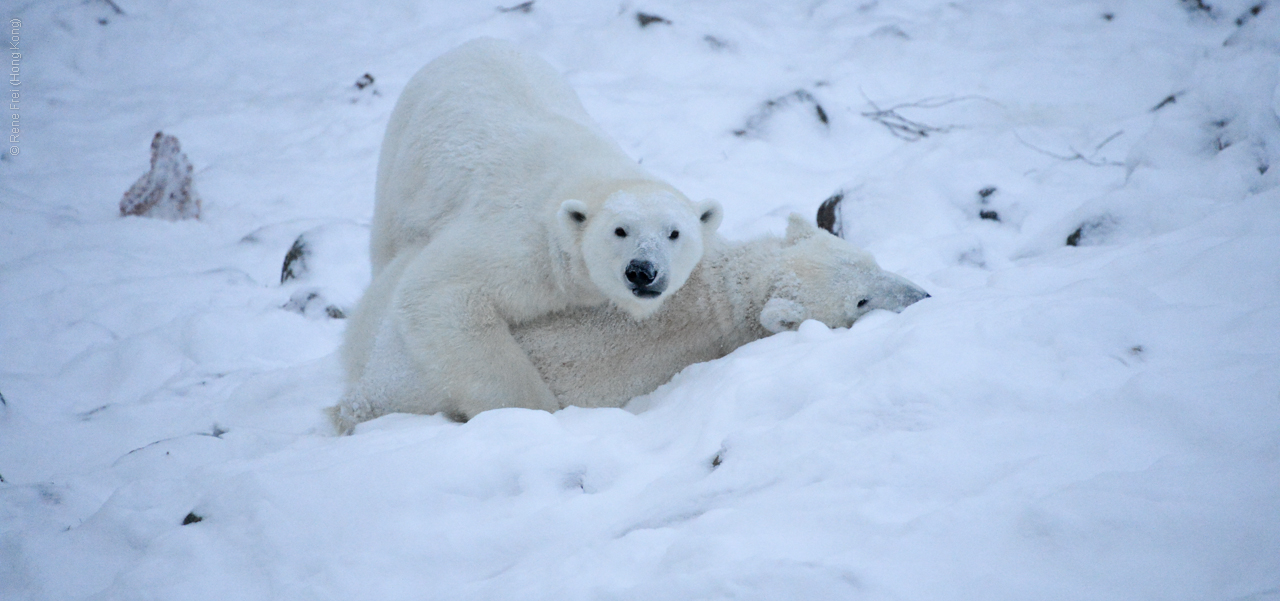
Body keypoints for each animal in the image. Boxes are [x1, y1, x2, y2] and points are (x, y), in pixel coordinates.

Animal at [335, 37, 721, 429]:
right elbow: (438, 292)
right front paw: (536, 412)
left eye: (674, 233)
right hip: (401, 169)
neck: (592, 177)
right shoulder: (520, 243)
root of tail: (473, 43)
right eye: (620, 230)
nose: (642, 271)